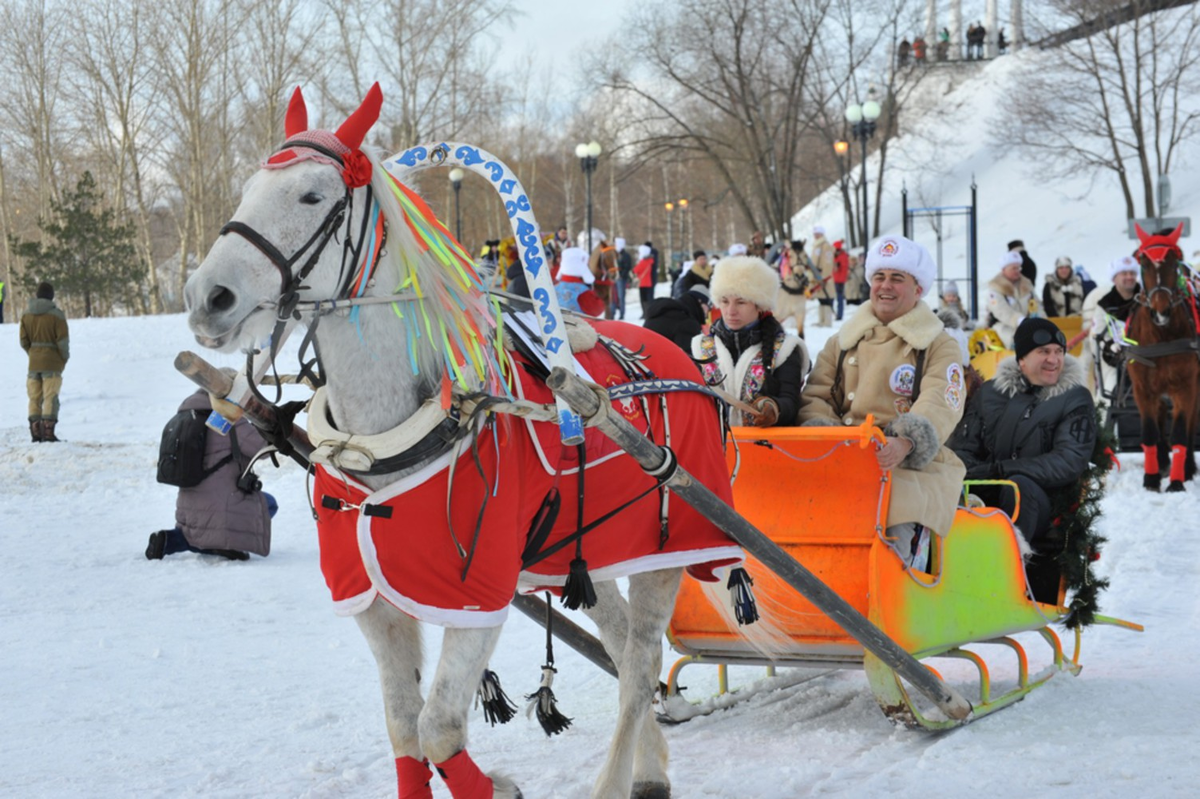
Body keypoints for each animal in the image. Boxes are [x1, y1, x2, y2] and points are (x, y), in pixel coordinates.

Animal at [184, 85, 748, 796]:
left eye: (312, 195)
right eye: (248, 189)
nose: (207, 295)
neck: (387, 442)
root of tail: (682, 359)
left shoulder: (478, 594)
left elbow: (438, 728)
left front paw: (495, 786)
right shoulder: (374, 599)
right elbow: (404, 727)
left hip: (667, 552)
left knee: (641, 666)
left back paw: (622, 776)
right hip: (589, 555)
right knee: (624, 652)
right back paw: (649, 767)